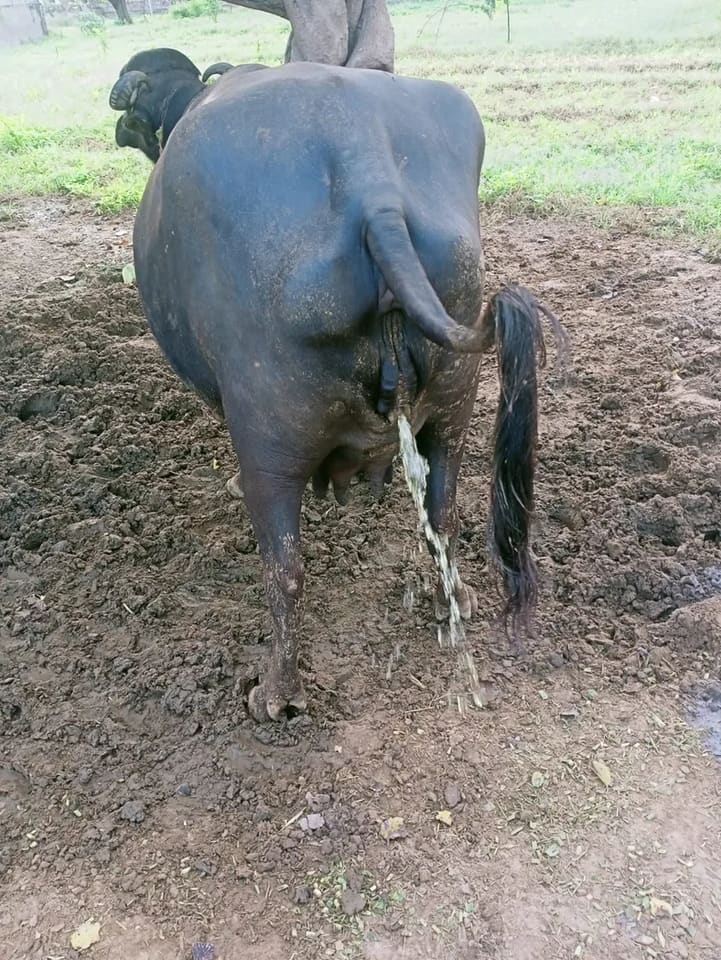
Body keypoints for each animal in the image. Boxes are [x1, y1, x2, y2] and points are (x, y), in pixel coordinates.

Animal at [109, 48, 559, 721]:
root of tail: (371, 182)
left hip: (269, 434)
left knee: (285, 567)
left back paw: (277, 692)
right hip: (454, 404)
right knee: (444, 513)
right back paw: (450, 599)